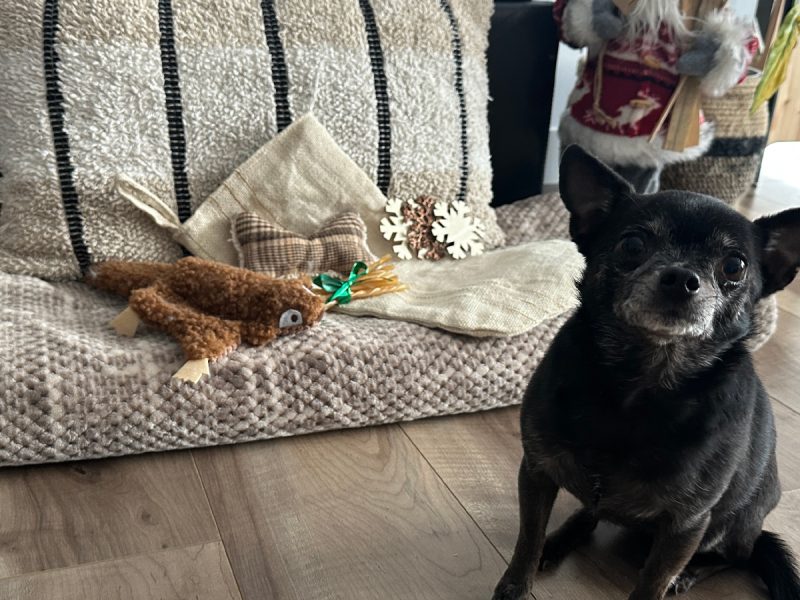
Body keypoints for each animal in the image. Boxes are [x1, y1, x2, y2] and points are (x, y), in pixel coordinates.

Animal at [490, 146, 800, 600]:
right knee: (589, 513)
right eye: (633, 244)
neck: (637, 384)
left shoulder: (686, 525)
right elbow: (526, 542)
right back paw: (559, 540)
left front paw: (669, 578)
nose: (682, 278)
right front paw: (516, 584)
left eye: (734, 266)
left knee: (736, 556)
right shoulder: (537, 473)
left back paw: (690, 573)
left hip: (730, 526)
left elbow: (652, 583)